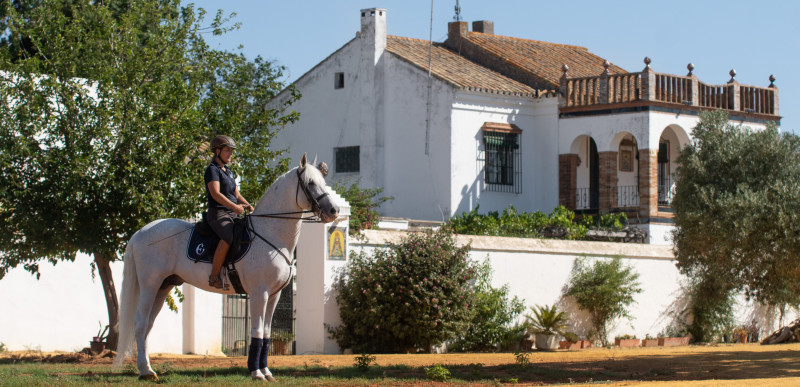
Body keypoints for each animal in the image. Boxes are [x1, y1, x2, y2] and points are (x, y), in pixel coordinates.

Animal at [111, 155, 338, 382]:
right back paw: (145, 371)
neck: (270, 235)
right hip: (150, 285)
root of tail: (140, 232)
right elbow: (256, 331)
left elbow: (266, 333)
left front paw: (266, 371)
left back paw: (148, 368)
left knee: (148, 325)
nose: (334, 211)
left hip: (163, 286)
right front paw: (256, 372)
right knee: (140, 324)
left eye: (323, 181)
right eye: (310, 183)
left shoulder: (274, 295)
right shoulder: (259, 293)